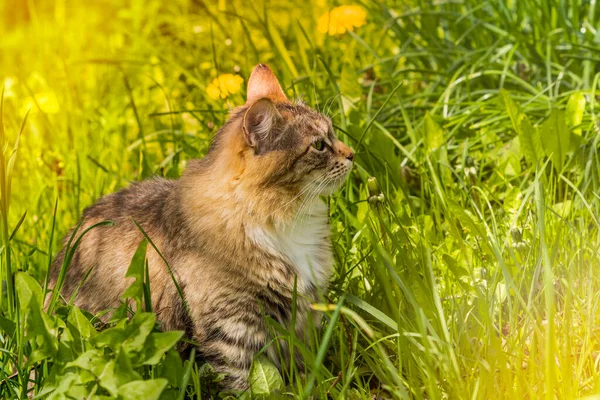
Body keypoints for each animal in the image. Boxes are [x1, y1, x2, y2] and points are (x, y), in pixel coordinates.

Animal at [50, 64, 356, 390]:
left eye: (333, 132)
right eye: (320, 145)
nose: (352, 154)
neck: (280, 219)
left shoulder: (302, 318)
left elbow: (304, 369)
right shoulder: (231, 326)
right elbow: (243, 382)